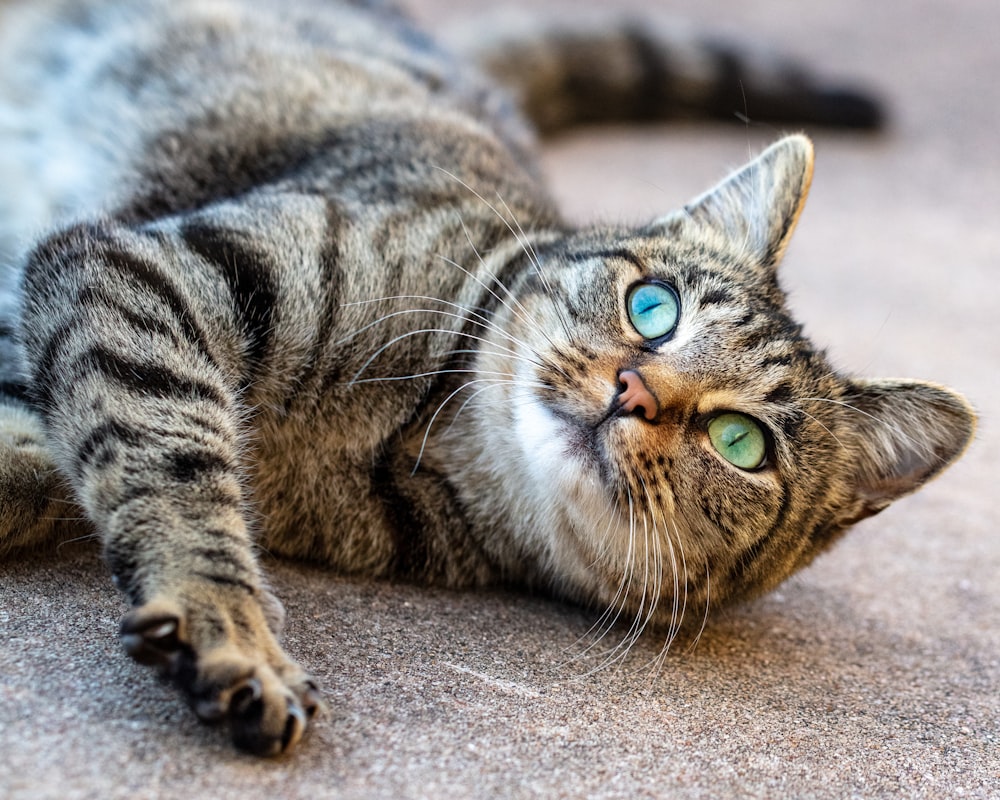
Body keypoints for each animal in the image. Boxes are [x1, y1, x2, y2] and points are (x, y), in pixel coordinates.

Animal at [0, 0, 972, 756]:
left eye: (742, 443)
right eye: (653, 306)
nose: (634, 391)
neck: (404, 432)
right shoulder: (139, 268)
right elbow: (174, 459)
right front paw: (224, 620)